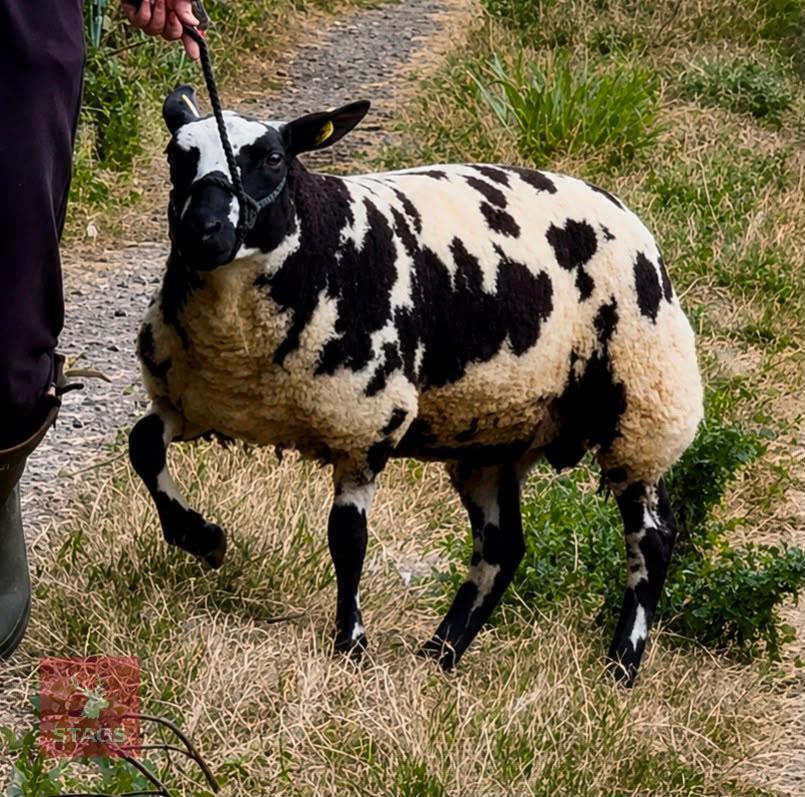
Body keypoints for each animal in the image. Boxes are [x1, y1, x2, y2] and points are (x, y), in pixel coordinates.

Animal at [128, 84, 704, 685]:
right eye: (176, 155)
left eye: (272, 159)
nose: (202, 232)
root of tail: (625, 215)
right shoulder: (191, 402)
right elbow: (143, 447)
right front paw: (203, 539)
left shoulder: (365, 423)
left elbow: (347, 538)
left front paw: (350, 644)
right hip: (493, 433)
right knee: (502, 546)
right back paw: (441, 655)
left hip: (643, 408)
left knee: (652, 538)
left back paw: (620, 666)